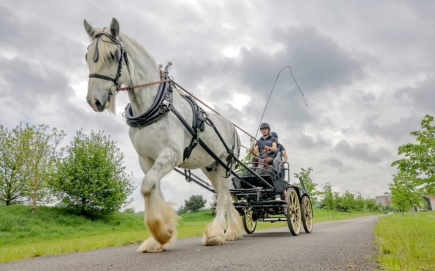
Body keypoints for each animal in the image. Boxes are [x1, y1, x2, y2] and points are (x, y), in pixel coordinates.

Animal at [83, 18, 244, 253]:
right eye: (87, 57)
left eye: (112, 55)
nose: (94, 100)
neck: (155, 104)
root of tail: (231, 126)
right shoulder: (146, 159)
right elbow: (153, 189)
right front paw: (159, 236)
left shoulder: (171, 154)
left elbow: (147, 185)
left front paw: (161, 232)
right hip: (211, 167)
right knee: (227, 196)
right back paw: (232, 231)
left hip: (226, 164)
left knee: (223, 196)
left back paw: (215, 233)